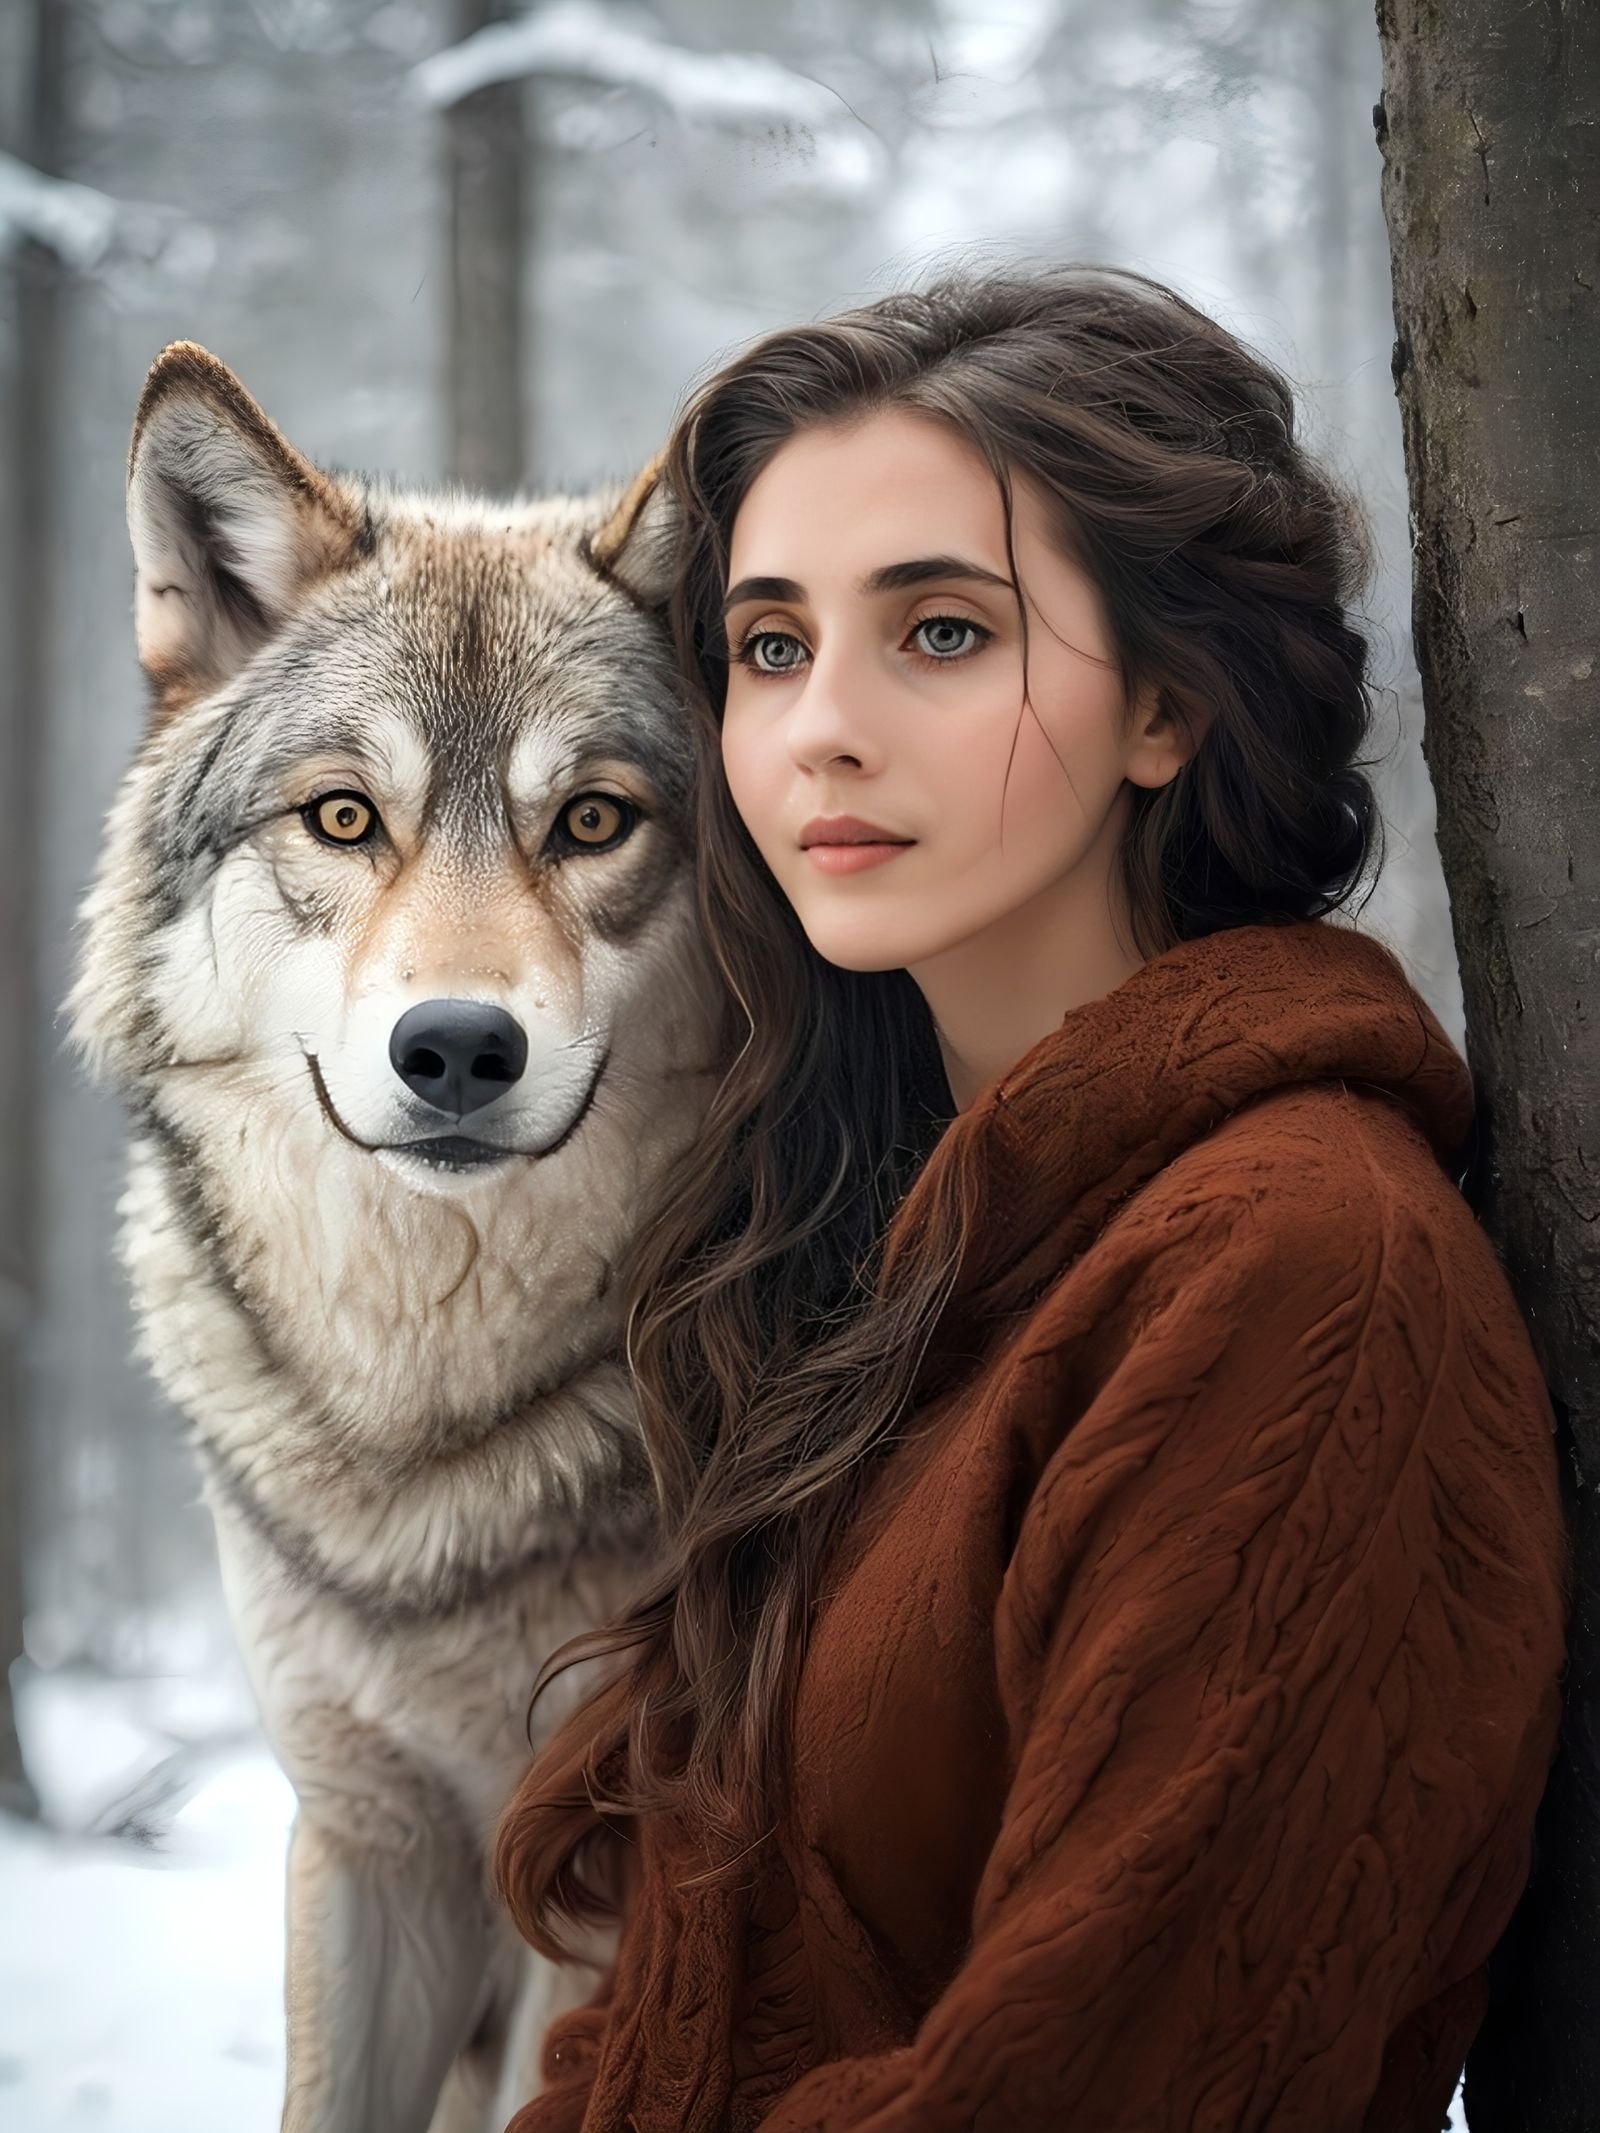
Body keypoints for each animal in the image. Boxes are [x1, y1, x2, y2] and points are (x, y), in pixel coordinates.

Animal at [69, 345, 718, 2133]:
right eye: (347, 818)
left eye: (593, 821)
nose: (457, 1050)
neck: (431, 1436)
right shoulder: (367, 1838)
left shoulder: (596, 1884)